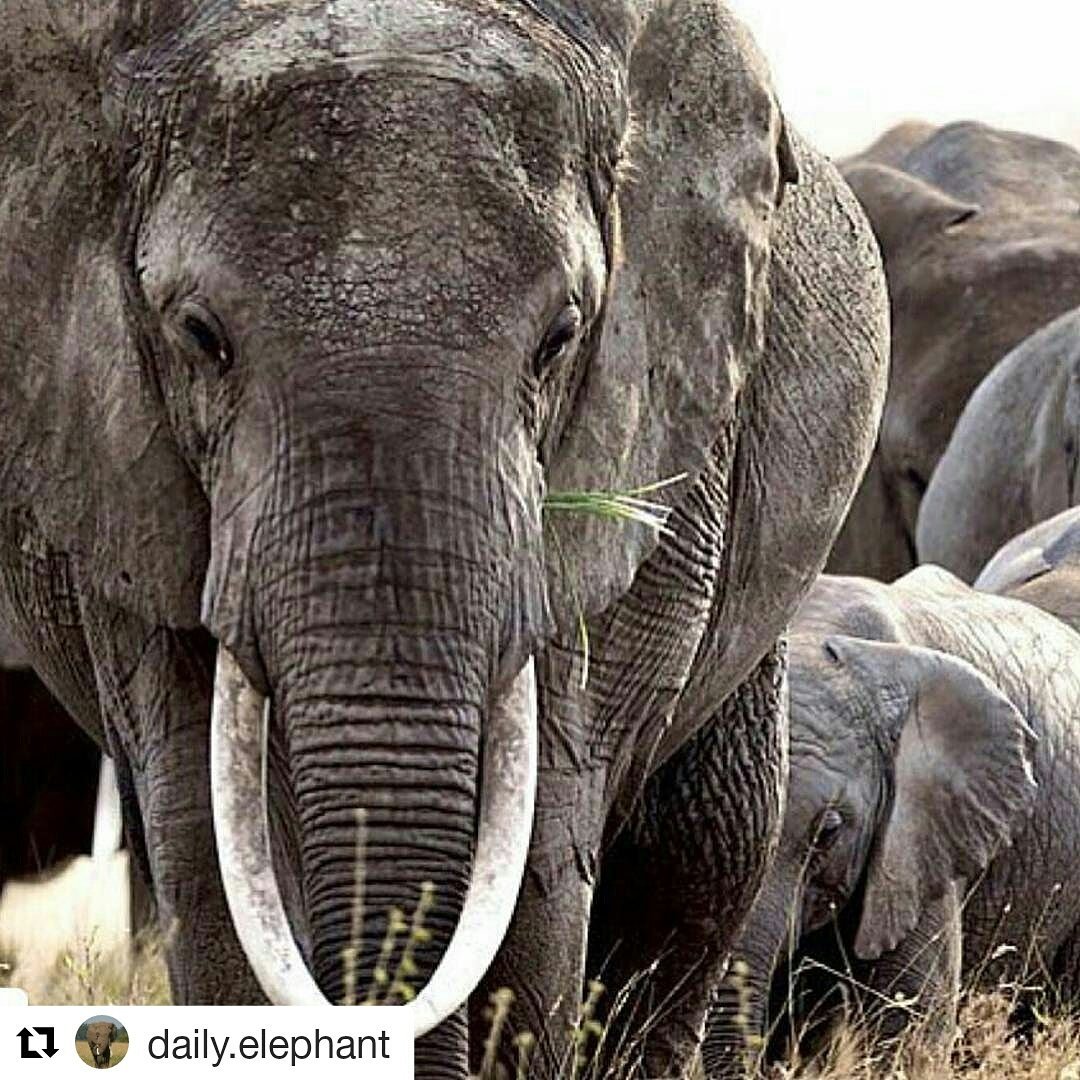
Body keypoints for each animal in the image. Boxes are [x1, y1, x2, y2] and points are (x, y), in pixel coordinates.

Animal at [0, 3, 888, 1075]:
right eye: (200, 336)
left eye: (560, 340)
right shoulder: (119, 467)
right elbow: (213, 845)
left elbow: (543, 840)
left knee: (702, 856)